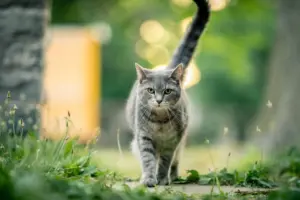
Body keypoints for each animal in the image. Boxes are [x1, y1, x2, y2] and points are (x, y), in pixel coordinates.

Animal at [125, 0, 210, 188]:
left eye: (167, 91)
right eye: (150, 90)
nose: (158, 100)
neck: (160, 121)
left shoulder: (172, 142)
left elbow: (165, 161)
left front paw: (162, 178)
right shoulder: (144, 137)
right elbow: (148, 160)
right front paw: (149, 179)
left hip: (180, 144)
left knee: (175, 161)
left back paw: (174, 176)